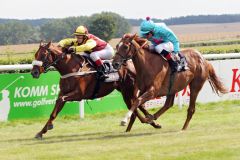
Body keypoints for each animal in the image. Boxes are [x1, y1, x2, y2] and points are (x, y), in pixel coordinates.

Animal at [30, 41, 161, 139]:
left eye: (43, 55)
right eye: (35, 55)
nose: (34, 72)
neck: (71, 68)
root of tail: (131, 63)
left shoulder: (79, 94)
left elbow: (61, 100)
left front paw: (47, 128)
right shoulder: (63, 93)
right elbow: (55, 110)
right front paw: (42, 131)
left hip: (129, 90)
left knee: (137, 104)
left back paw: (149, 122)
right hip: (124, 91)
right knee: (137, 105)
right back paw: (145, 124)